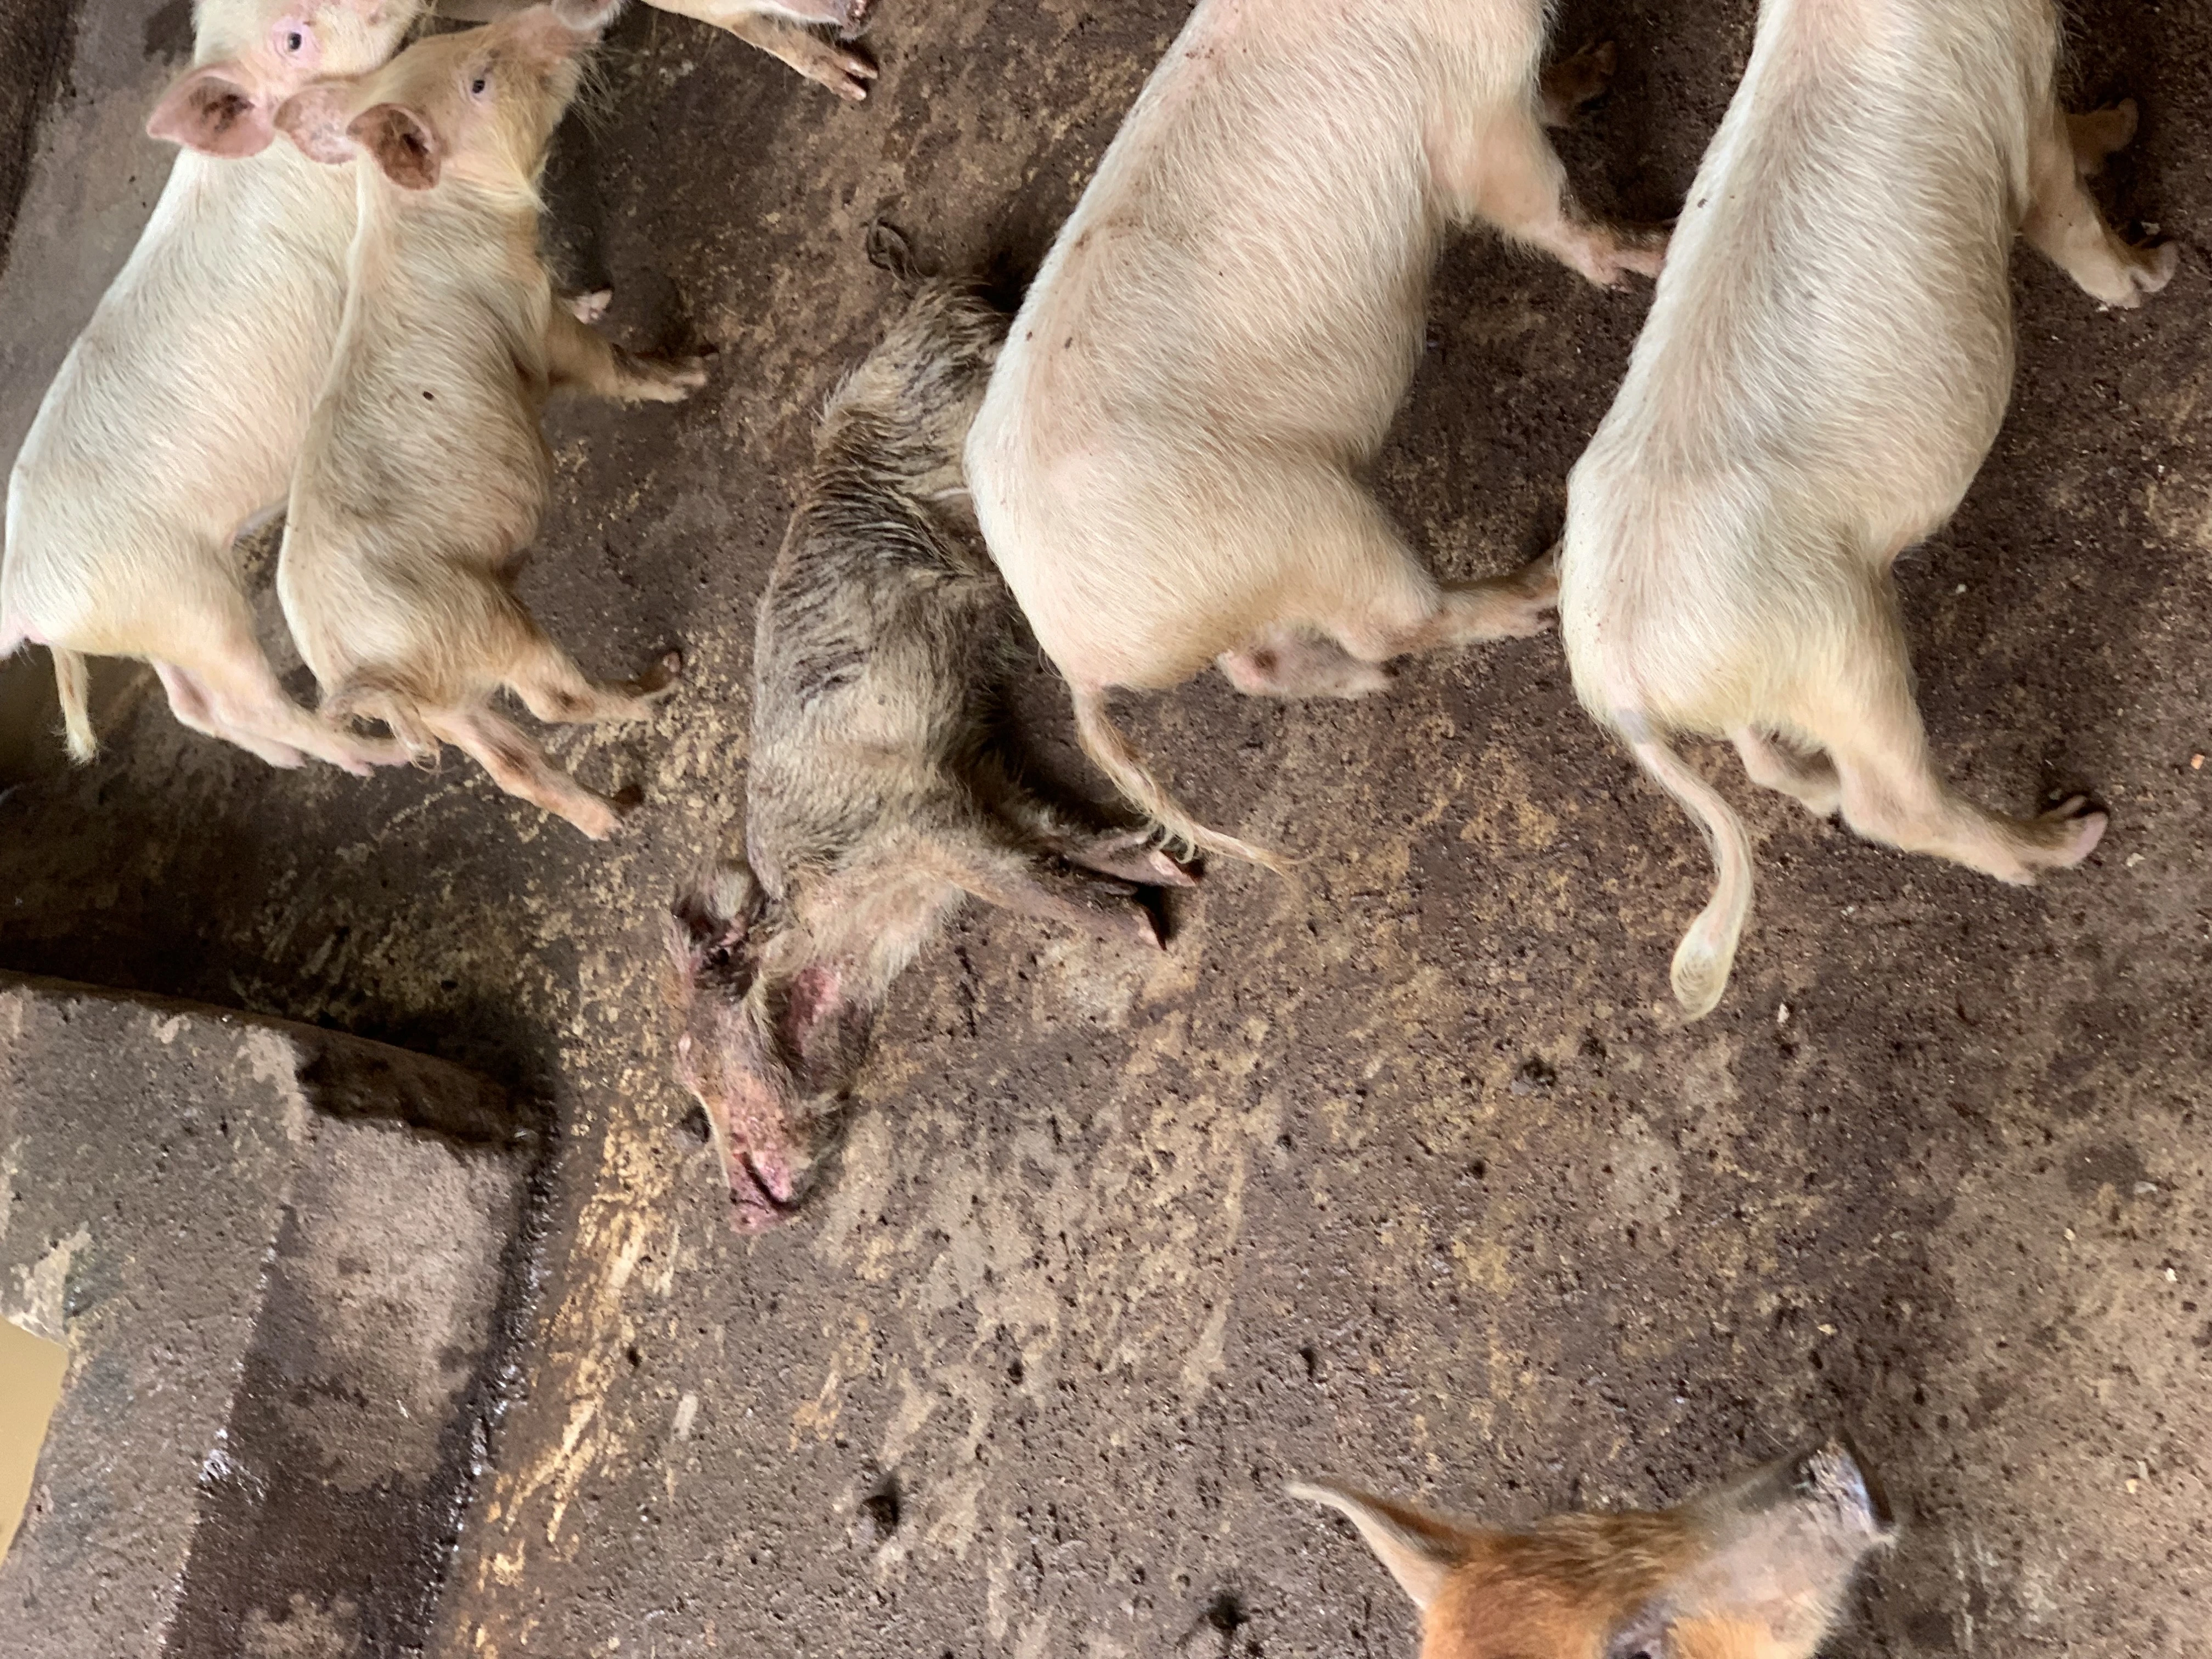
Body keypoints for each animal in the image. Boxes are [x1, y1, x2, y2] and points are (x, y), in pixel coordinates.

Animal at [0, 0, 425, 772]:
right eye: (293, 39)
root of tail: (22, 592)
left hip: (153, 618)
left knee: (192, 705)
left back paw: (291, 763)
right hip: (185, 603)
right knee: (247, 699)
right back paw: (377, 757)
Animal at [269, 6, 704, 839]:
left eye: (456, 48)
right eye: (479, 80)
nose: (562, 16)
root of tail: (351, 663)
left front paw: (602, 298)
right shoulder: (530, 318)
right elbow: (608, 366)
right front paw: (695, 373)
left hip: (451, 696)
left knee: (512, 766)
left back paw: (615, 816)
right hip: (476, 618)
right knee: (552, 701)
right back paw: (663, 681)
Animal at [667, 278, 1192, 1230]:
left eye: (693, 1063)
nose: (738, 1211)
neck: (851, 923)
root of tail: (928, 304)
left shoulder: (914, 817)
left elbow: (1023, 882)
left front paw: (1149, 934)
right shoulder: (978, 779)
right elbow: (1052, 831)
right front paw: (1170, 871)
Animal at [964, 5, 1663, 869]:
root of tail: (1076, 656)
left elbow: (1549, 101)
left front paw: (1600, 66)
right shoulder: (1476, 122)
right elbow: (1545, 206)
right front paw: (1656, 249)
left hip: (1252, 571)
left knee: (1259, 666)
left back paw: (1378, 685)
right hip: (1305, 522)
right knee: (1394, 620)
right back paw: (1548, 576)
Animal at [1557, 0, 2178, 1017]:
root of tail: (1623, 677)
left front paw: (2120, 114)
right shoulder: (2018, 104)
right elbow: (2064, 208)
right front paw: (2152, 270)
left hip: (1764, 668)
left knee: (1767, 759)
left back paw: (1815, 789)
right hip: (1838, 641)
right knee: (1889, 801)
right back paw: (2070, 832)